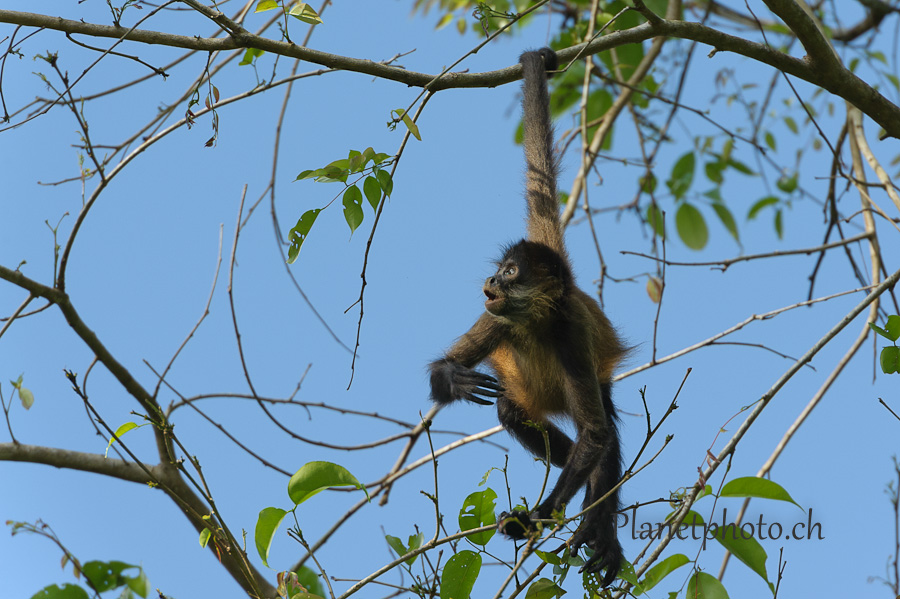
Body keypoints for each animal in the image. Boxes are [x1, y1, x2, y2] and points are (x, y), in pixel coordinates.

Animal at [428, 48, 624, 584]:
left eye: (511, 271)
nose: (492, 281)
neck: (536, 323)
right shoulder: (496, 318)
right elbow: (437, 374)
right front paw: (454, 379)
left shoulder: (570, 331)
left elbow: (597, 436)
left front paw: (543, 514)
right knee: (511, 409)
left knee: (605, 432)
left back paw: (599, 525)